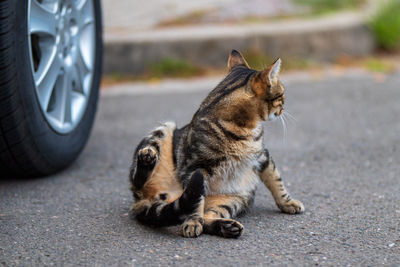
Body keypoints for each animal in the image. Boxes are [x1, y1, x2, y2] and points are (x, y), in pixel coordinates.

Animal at [130, 49, 304, 239]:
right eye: (282, 95)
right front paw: (192, 222)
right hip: (163, 130)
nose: (283, 108)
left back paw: (227, 226)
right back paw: (147, 159)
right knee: (138, 181)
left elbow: (276, 182)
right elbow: (196, 203)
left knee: (208, 218)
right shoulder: (195, 168)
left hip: (234, 199)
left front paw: (288, 203)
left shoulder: (262, 157)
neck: (242, 129)